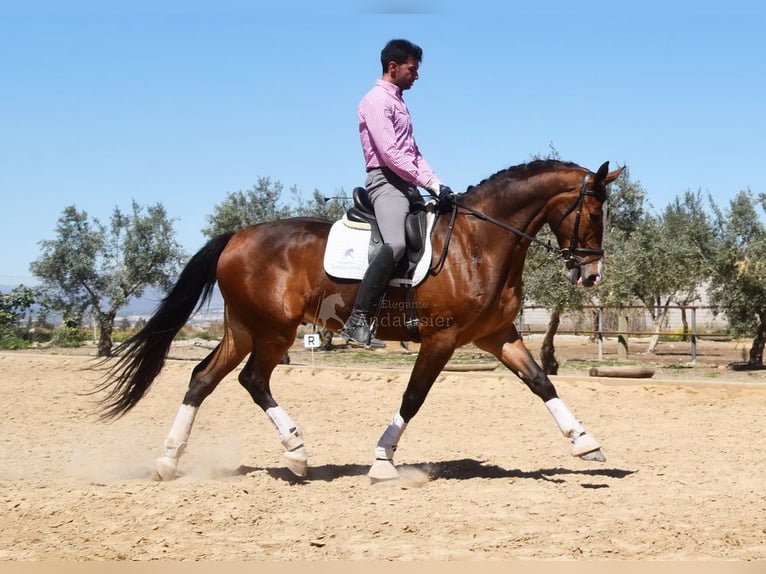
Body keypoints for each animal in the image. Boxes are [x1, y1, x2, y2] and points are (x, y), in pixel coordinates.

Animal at [96, 160, 624, 484]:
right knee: (253, 379)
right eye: (593, 212)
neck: (478, 243)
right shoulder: (442, 338)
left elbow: (541, 383)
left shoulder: (497, 335)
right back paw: (296, 451)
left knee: (203, 379)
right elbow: (413, 398)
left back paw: (169, 461)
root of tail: (235, 237)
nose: (592, 275)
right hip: (273, 330)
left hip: (244, 329)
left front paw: (587, 444)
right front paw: (383, 461)